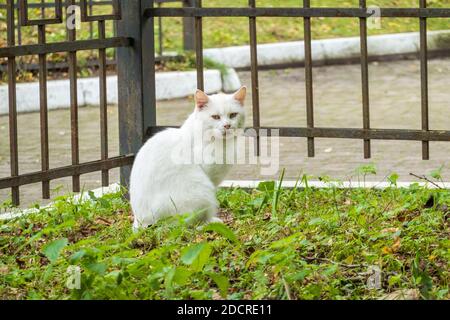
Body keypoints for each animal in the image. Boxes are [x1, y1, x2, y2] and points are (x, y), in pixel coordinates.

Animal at [130, 86, 248, 231]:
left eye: (233, 115)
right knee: (184, 225)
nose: (227, 126)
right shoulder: (210, 177)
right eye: (215, 117)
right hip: (201, 190)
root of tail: (141, 222)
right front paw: (210, 220)